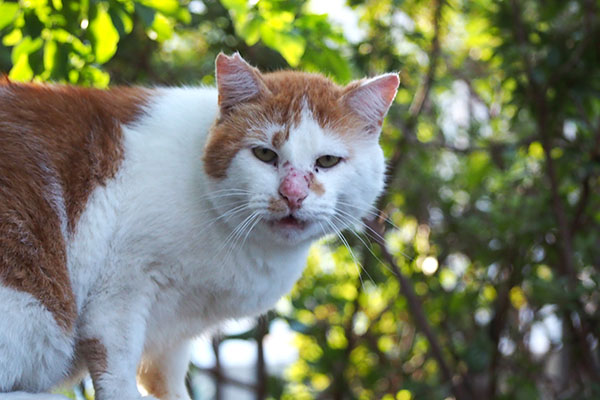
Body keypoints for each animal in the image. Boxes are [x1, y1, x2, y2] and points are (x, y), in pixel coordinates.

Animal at [0, 54, 398, 400]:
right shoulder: (121, 288)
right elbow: (117, 365)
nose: (293, 194)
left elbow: (167, 377)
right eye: (265, 154)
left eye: (327, 161)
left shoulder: (173, 334)